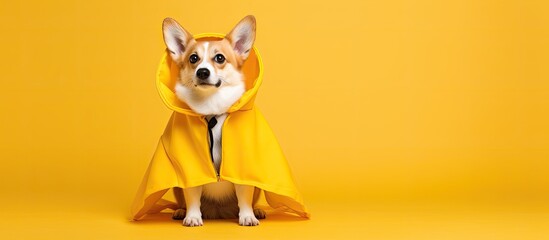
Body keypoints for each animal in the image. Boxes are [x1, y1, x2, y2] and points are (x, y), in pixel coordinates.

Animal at [161, 15, 264, 226]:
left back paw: (258, 210)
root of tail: (218, 211)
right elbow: (192, 194)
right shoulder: (191, 170)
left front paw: (247, 216)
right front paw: (192, 217)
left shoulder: (242, 171)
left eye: (220, 58)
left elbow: (244, 195)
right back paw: (180, 211)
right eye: (193, 58)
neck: (211, 106)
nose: (202, 72)